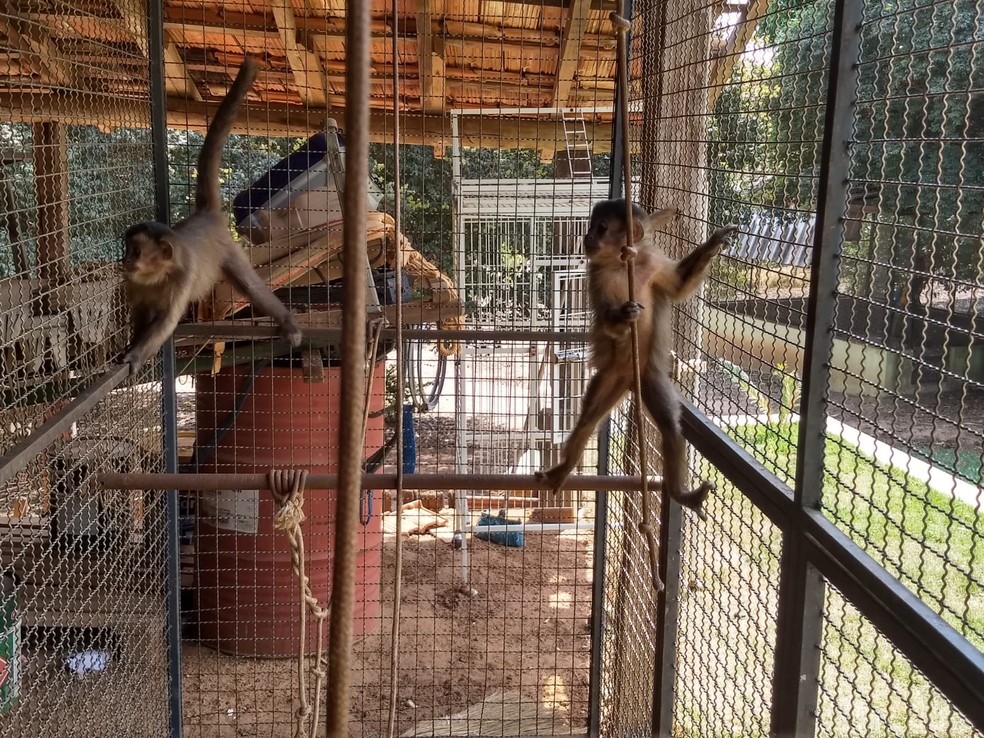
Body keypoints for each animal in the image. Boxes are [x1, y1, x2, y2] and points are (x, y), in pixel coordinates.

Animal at [117, 57, 300, 374]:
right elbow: (140, 313)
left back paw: (285, 321)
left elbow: (166, 322)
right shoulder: (135, 281)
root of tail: (204, 217)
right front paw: (132, 347)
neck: (157, 275)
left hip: (228, 248)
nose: (125, 260)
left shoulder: (183, 275)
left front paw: (136, 355)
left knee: (250, 286)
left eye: (136, 251)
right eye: (127, 249)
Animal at [540, 196, 736, 516]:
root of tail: (630, 382)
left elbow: (678, 286)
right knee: (587, 421)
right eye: (591, 226)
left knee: (670, 429)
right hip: (610, 377)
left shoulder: (651, 263)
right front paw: (621, 318)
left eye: (601, 228)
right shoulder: (597, 274)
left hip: (648, 378)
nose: (587, 236)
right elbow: (608, 321)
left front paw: (714, 243)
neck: (621, 264)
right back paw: (564, 469)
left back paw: (681, 494)